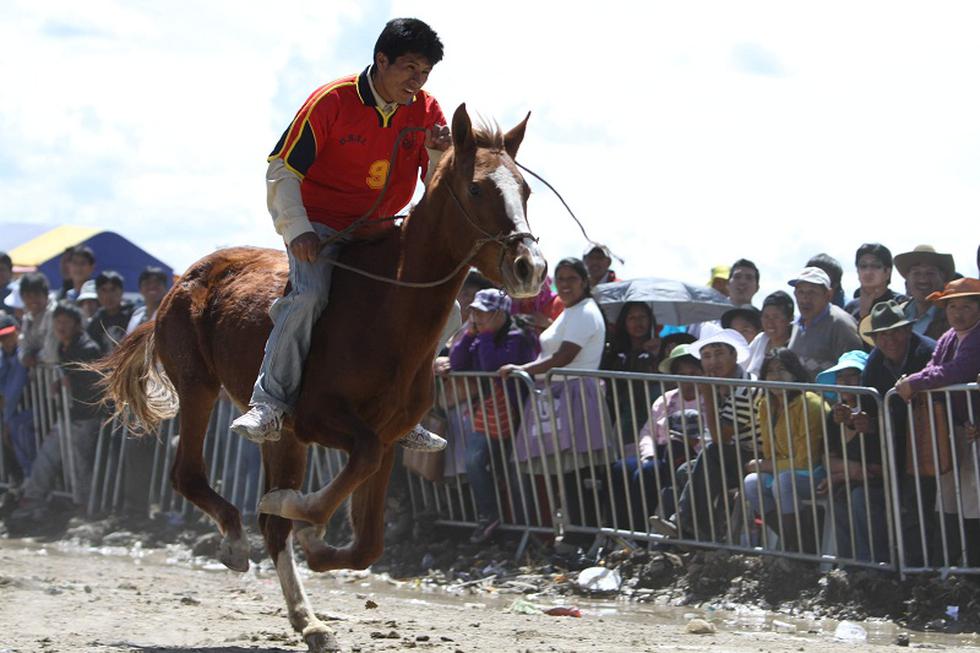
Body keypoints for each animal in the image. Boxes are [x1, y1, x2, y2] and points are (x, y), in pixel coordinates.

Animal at [94, 104, 547, 653]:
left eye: (525, 190)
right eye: (478, 189)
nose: (530, 267)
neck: (387, 307)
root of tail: (187, 278)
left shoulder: (388, 436)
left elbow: (367, 541)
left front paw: (310, 532)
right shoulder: (321, 418)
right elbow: (342, 477)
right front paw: (302, 516)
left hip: (282, 435)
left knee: (271, 527)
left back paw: (308, 619)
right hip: (200, 385)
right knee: (191, 476)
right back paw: (236, 541)